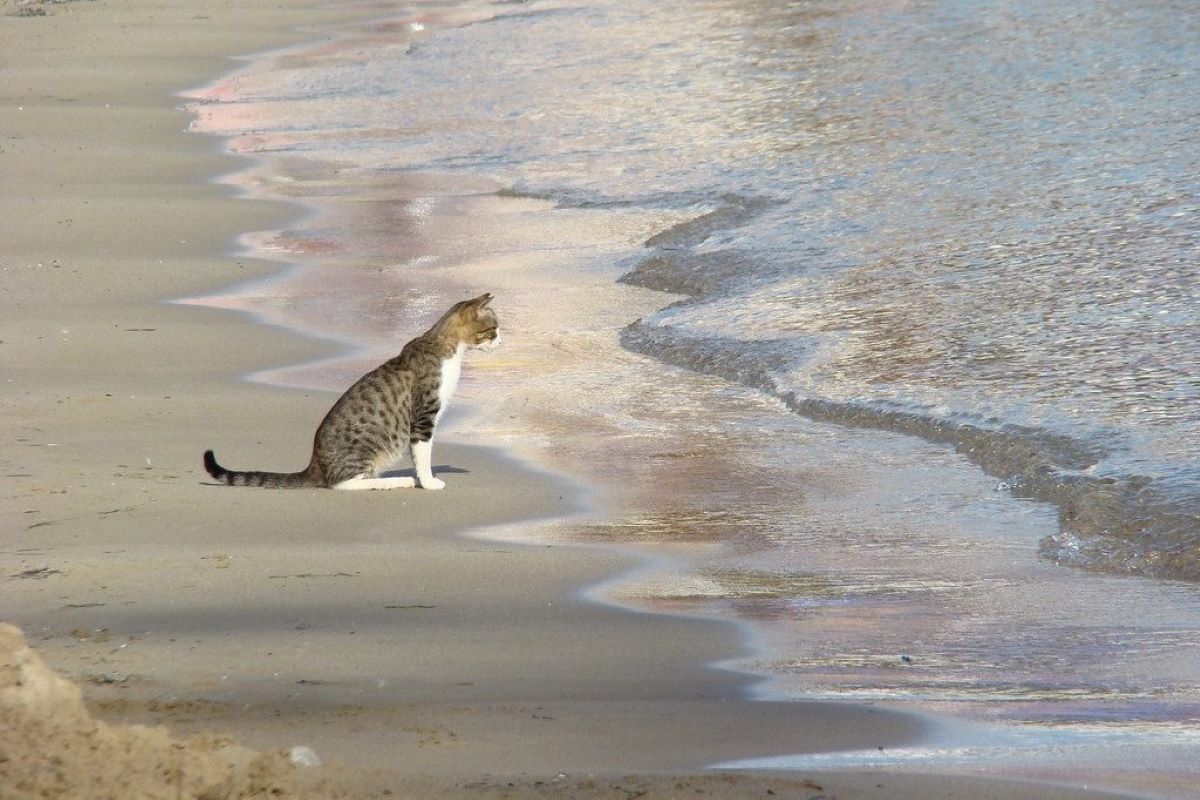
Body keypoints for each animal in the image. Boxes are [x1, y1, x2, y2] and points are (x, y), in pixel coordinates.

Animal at [204, 293, 499, 491]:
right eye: (493, 329)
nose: (501, 340)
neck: (446, 347)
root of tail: (315, 466)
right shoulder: (423, 416)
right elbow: (423, 455)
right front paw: (428, 482)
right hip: (364, 450)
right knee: (342, 483)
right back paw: (395, 481)